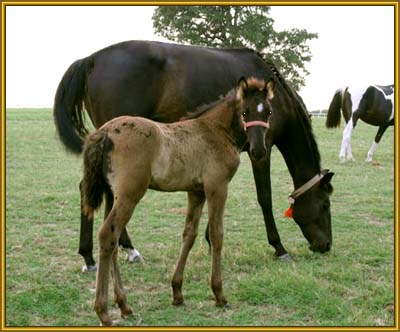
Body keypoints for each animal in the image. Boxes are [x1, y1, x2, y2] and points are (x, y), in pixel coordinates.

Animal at [53, 40, 334, 272]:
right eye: (325, 204)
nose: (326, 246)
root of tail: (91, 59)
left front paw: (210, 240)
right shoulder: (260, 152)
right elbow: (264, 197)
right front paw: (279, 247)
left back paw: (105, 253)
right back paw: (105, 253)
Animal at [81, 78, 274, 326]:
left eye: (268, 112)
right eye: (244, 111)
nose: (258, 150)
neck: (215, 131)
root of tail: (104, 132)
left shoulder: (196, 192)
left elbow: (189, 235)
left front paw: (177, 292)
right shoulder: (217, 188)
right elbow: (217, 236)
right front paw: (219, 294)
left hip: (111, 195)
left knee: (113, 240)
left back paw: (124, 306)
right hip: (129, 195)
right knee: (107, 235)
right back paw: (103, 312)